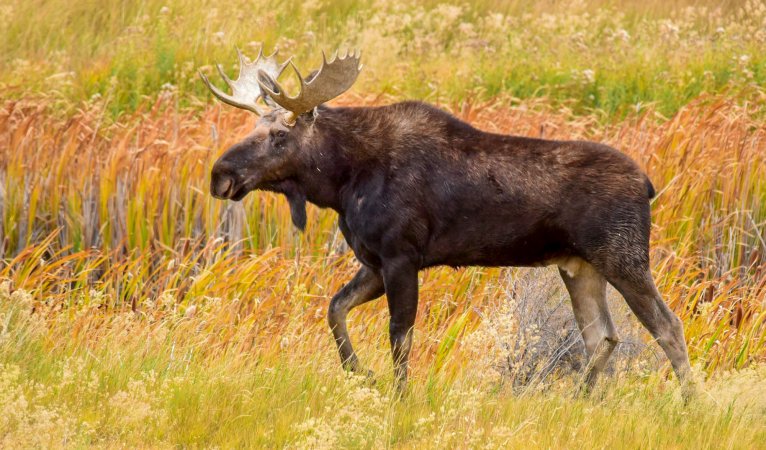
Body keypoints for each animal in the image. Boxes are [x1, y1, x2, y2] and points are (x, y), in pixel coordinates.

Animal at [201, 46, 692, 394]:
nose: (220, 175)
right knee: (602, 337)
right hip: (579, 267)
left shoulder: (401, 256)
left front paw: (398, 395)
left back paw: (690, 403)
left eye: (279, 137)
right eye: (254, 127)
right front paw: (362, 375)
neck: (341, 182)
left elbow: (399, 337)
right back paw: (580, 400)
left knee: (667, 326)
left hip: (623, 257)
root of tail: (647, 183)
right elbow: (335, 310)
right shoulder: (374, 262)